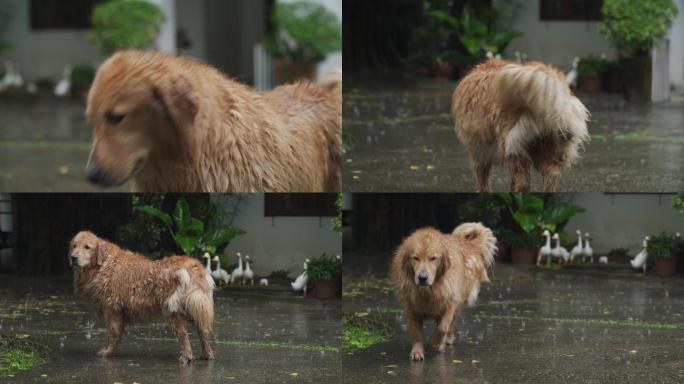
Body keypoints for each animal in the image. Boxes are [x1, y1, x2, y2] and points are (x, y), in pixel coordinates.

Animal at [69, 231, 214, 364]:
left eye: (87, 247)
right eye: (74, 246)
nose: (73, 257)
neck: (104, 264)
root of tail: (191, 265)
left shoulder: (111, 309)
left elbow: (113, 334)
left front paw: (107, 352)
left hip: (171, 310)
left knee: (183, 333)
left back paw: (186, 356)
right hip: (192, 306)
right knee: (203, 330)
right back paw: (207, 354)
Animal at [390, 222, 496, 360]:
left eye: (433, 258)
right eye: (416, 258)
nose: (422, 278)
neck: (429, 291)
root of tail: (465, 242)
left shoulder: (451, 302)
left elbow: (443, 326)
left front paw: (435, 342)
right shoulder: (410, 307)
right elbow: (416, 332)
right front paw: (417, 351)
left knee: (450, 324)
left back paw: (446, 340)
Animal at [452, 59, 592, 191]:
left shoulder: (479, 152)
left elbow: (483, 182)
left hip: (512, 149)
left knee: (523, 182)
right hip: (549, 150)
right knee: (551, 176)